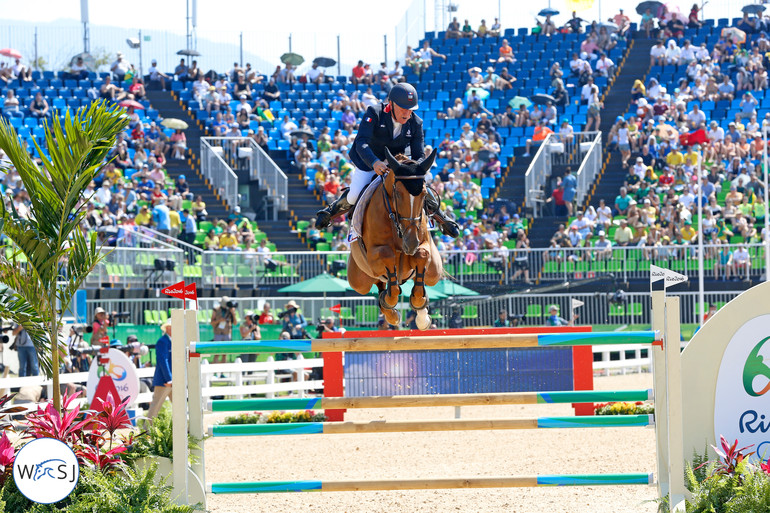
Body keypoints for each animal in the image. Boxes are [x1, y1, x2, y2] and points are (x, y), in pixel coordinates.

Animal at [346, 146, 440, 330]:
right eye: (397, 193)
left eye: (424, 194)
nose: (410, 243)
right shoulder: (374, 256)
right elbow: (388, 258)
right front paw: (391, 305)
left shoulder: (423, 245)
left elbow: (422, 255)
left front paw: (419, 307)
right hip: (360, 281)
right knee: (379, 285)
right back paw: (391, 313)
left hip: (435, 270)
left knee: (423, 279)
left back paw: (422, 318)